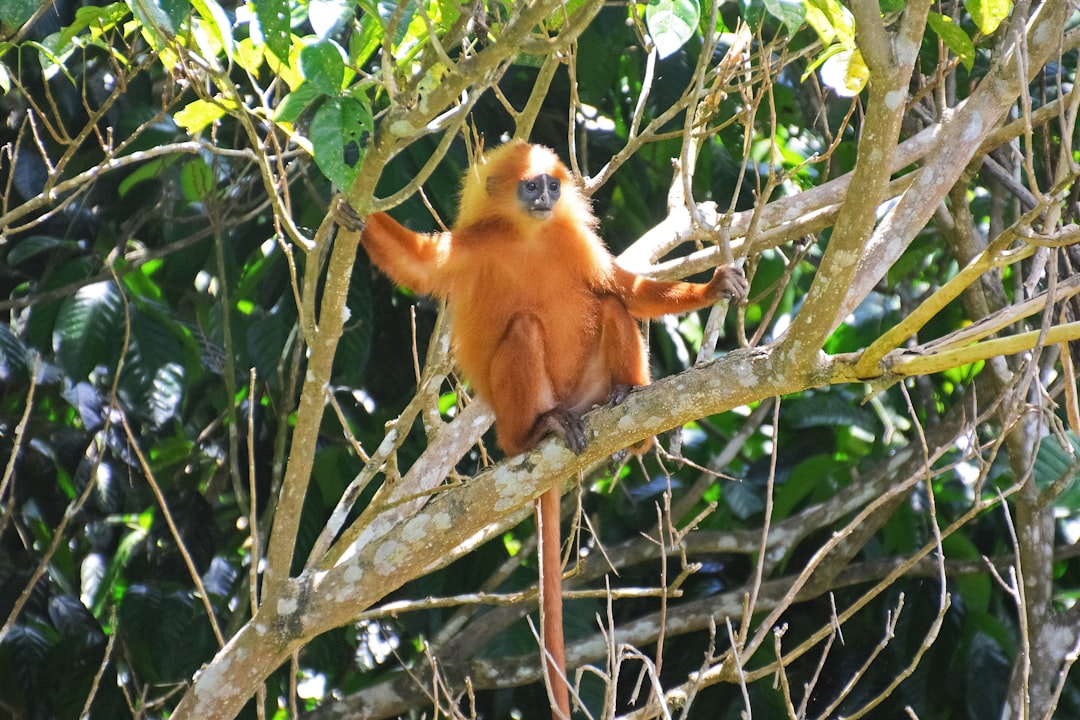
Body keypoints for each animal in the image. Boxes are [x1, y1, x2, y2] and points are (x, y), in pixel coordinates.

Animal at [358, 139, 747, 716]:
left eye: (550, 184)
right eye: (529, 186)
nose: (545, 196)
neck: (533, 236)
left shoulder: (576, 241)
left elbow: (623, 287)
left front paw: (713, 287)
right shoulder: (476, 245)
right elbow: (420, 266)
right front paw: (347, 213)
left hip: (588, 389)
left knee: (611, 303)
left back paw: (630, 409)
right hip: (522, 408)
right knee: (524, 331)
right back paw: (539, 432)